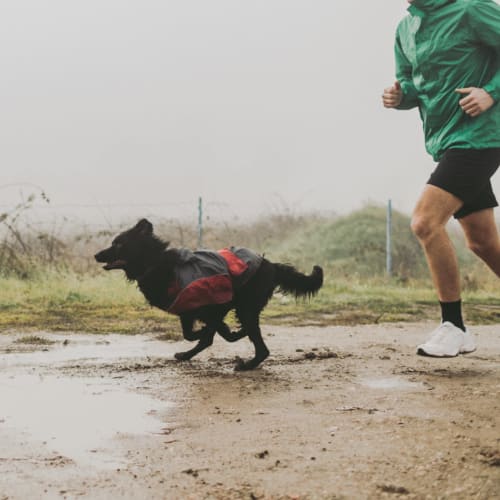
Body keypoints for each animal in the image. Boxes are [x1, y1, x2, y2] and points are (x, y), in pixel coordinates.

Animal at [95, 220, 322, 372]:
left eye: (118, 244)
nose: (96, 255)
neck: (156, 263)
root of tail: (271, 265)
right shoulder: (187, 310)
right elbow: (194, 334)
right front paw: (217, 334)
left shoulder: (215, 305)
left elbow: (209, 335)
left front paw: (219, 333)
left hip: (246, 308)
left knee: (262, 348)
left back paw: (247, 365)